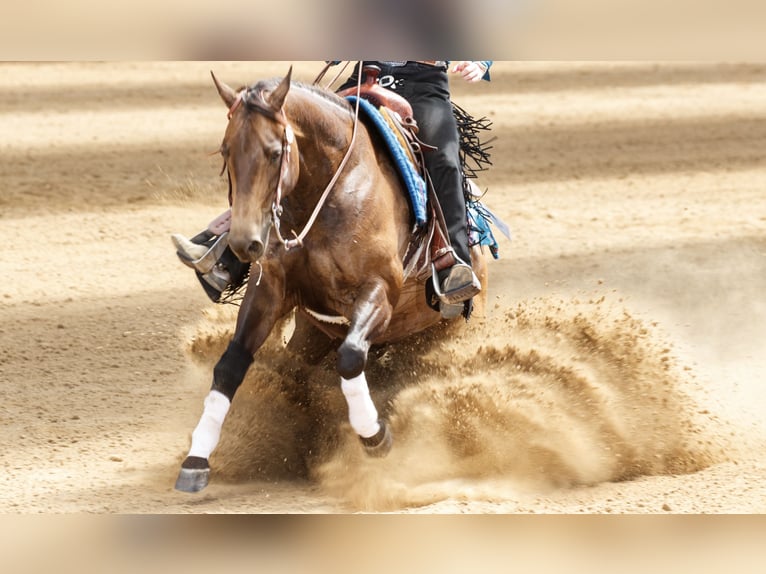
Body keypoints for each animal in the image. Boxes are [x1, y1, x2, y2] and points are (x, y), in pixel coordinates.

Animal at [174, 67, 488, 493]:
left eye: (275, 152)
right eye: (225, 152)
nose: (243, 242)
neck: (328, 188)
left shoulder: (379, 290)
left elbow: (351, 356)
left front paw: (374, 436)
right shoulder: (269, 290)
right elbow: (229, 365)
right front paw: (197, 458)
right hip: (314, 331)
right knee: (293, 367)